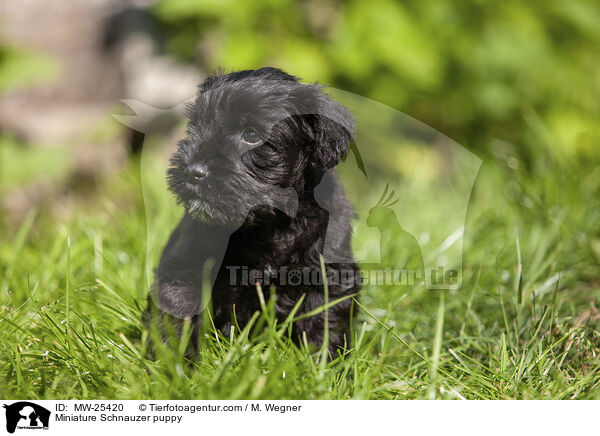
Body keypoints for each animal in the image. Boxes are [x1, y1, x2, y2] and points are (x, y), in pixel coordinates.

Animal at [144, 67, 360, 354]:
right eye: (197, 125)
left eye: (252, 134)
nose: (192, 172)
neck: (269, 225)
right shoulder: (185, 265)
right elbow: (177, 312)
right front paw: (173, 361)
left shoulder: (328, 274)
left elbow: (324, 322)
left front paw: (323, 363)